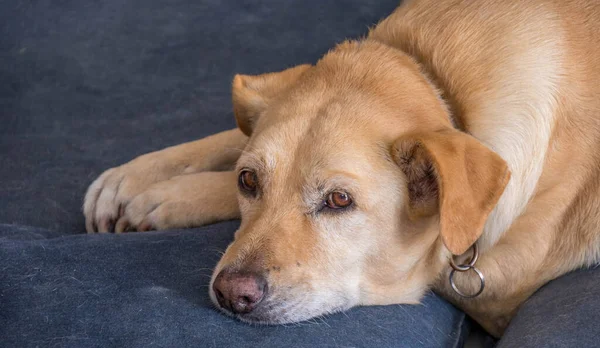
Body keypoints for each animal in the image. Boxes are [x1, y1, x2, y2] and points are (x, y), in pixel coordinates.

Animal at [83, 0, 600, 338]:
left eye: (338, 201)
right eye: (248, 181)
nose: (232, 294)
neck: (440, 85)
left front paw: (160, 197)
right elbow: (231, 136)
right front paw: (136, 178)